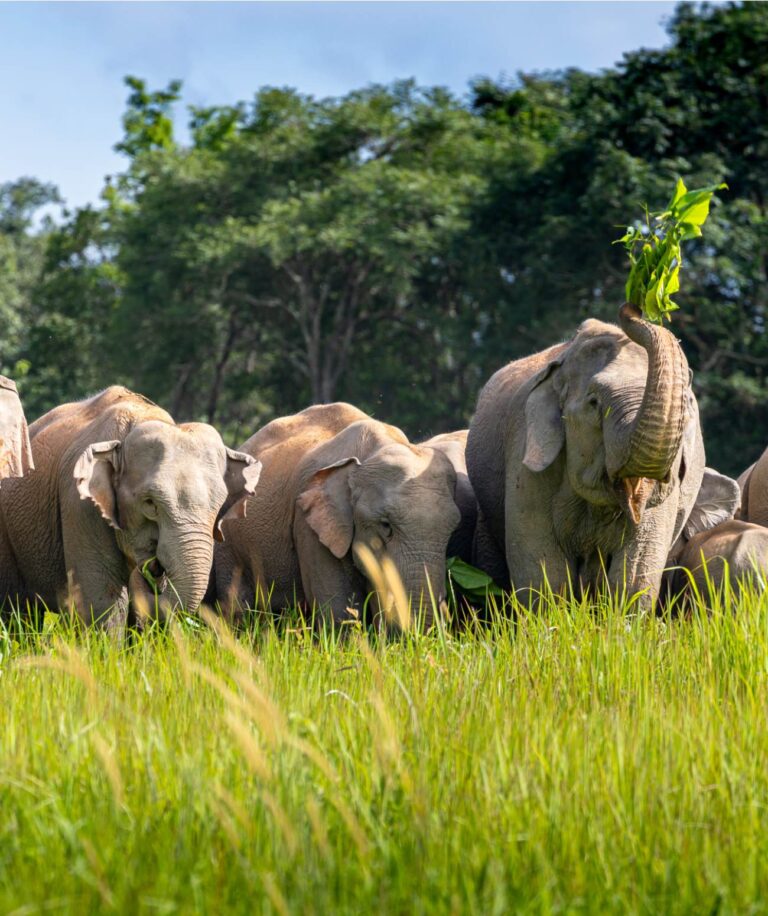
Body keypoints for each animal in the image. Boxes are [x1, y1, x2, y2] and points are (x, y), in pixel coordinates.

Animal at [0, 386, 260, 631]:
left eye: (219, 505)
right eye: (150, 503)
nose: (152, 568)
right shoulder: (80, 506)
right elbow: (102, 603)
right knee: (16, 609)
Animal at [466, 303, 705, 608]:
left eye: (686, 403)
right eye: (594, 403)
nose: (633, 307)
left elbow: (636, 571)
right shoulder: (526, 457)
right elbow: (543, 571)